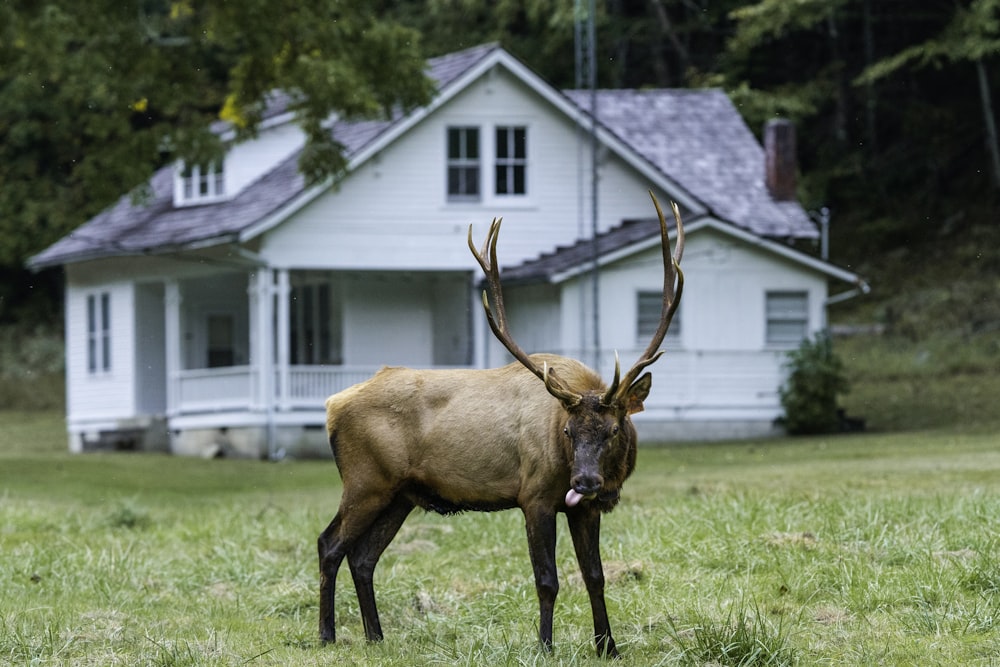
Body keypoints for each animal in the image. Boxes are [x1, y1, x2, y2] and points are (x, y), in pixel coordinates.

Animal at [316, 192, 684, 656]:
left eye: (614, 430)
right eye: (568, 432)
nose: (584, 482)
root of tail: (333, 405)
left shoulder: (583, 509)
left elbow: (595, 577)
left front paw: (608, 646)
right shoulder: (534, 495)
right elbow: (547, 580)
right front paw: (545, 646)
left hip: (400, 494)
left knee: (363, 557)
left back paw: (376, 636)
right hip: (365, 480)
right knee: (329, 544)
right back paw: (327, 635)